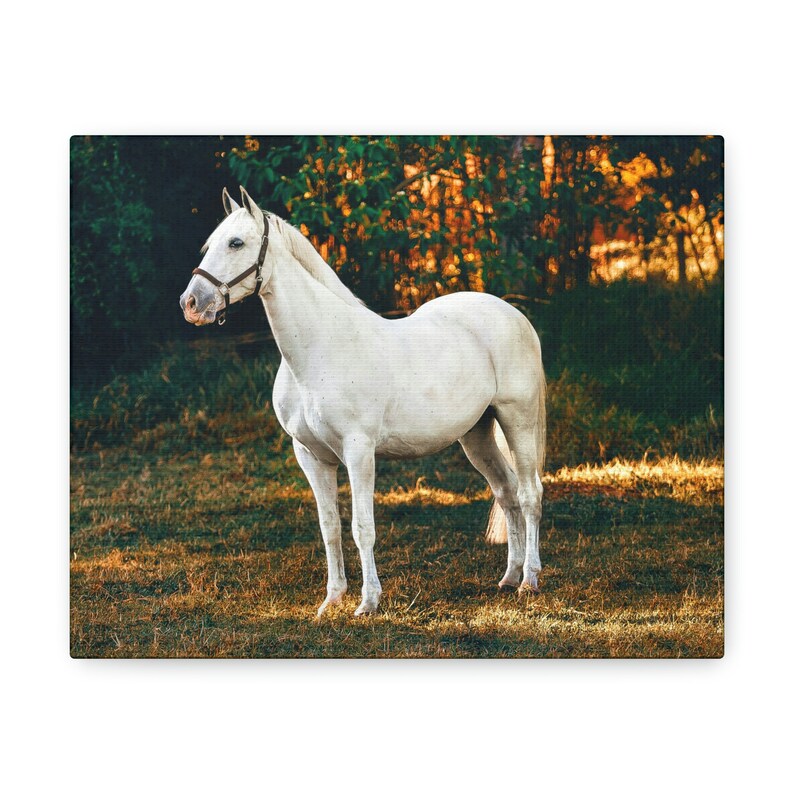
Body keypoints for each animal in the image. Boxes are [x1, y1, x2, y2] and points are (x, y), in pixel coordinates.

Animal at [180, 187, 546, 616]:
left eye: (236, 243)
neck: (321, 349)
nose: (191, 303)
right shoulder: (311, 456)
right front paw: (332, 599)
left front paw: (368, 602)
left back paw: (529, 580)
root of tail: (514, 315)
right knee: (506, 493)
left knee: (529, 494)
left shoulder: (358, 451)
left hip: (517, 420)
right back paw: (508, 577)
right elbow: (330, 528)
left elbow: (362, 528)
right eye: (210, 245)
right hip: (476, 435)